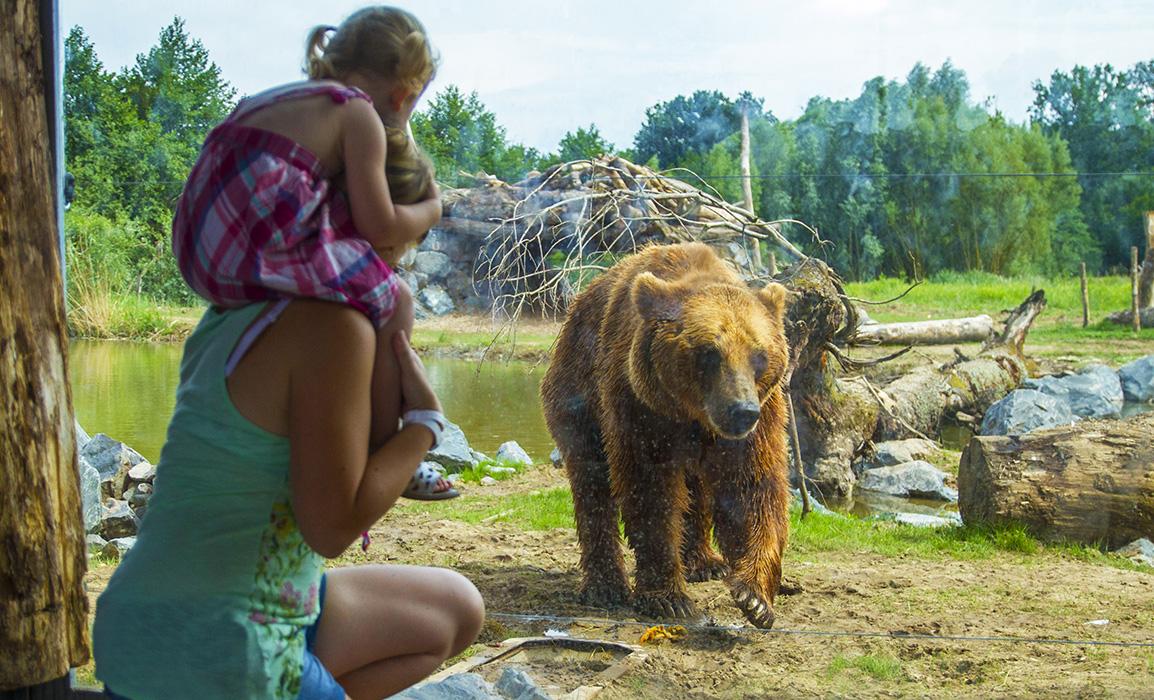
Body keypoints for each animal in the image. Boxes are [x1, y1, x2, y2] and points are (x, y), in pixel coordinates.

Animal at [540, 242, 793, 631]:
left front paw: (755, 598)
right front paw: (668, 599)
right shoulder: (640, 405)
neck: (693, 413)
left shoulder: (761, 419)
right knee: (591, 482)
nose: (741, 411)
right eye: (710, 352)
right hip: (578, 391)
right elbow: (649, 490)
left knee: (697, 490)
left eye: (759, 355)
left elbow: (752, 489)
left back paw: (704, 562)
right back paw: (605, 586)